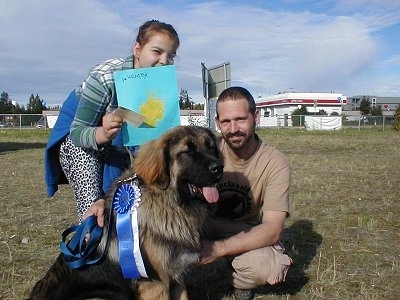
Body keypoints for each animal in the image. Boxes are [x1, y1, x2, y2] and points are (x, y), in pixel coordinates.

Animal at [30, 125, 225, 298]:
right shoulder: (156, 284)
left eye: (210, 147)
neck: (169, 203)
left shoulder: (176, 277)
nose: (219, 168)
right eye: (187, 152)